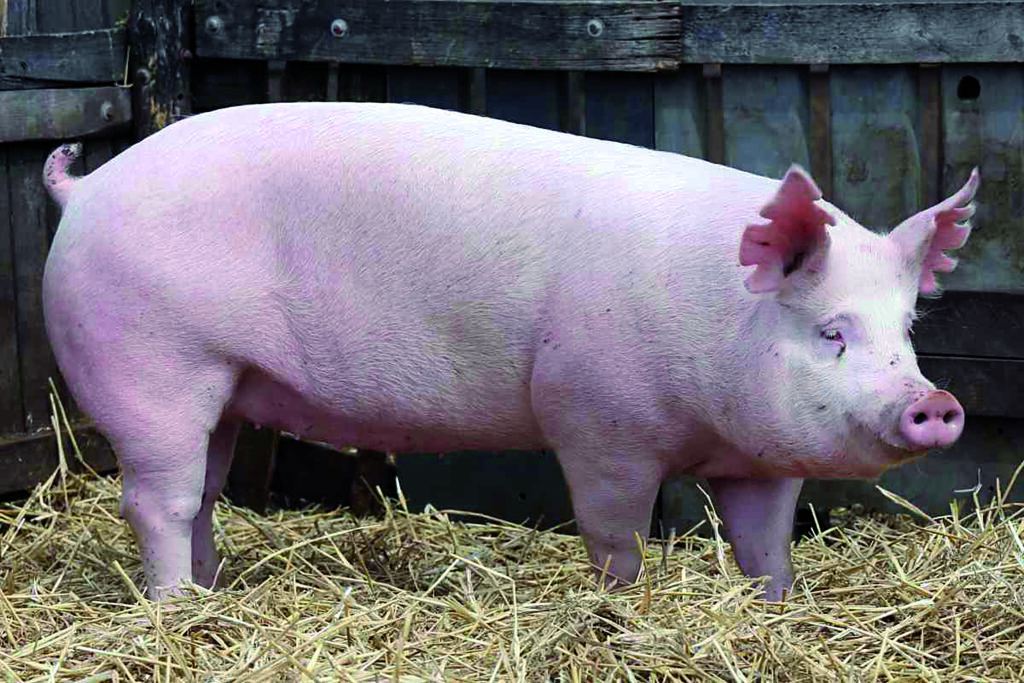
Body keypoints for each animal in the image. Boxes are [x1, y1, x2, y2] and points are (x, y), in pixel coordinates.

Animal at [41, 102, 976, 601]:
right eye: (832, 331)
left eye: (906, 331)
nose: (934, 402)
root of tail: (84, 189)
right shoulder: (597, 420)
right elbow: (616, 535)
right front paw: (620, 606)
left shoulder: (762, 459)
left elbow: (767, 547)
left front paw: (771, 603)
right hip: (151, 367)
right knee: (156, 500)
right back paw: (174, 607)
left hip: (225, 383)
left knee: (203, 493)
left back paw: (211, 590)